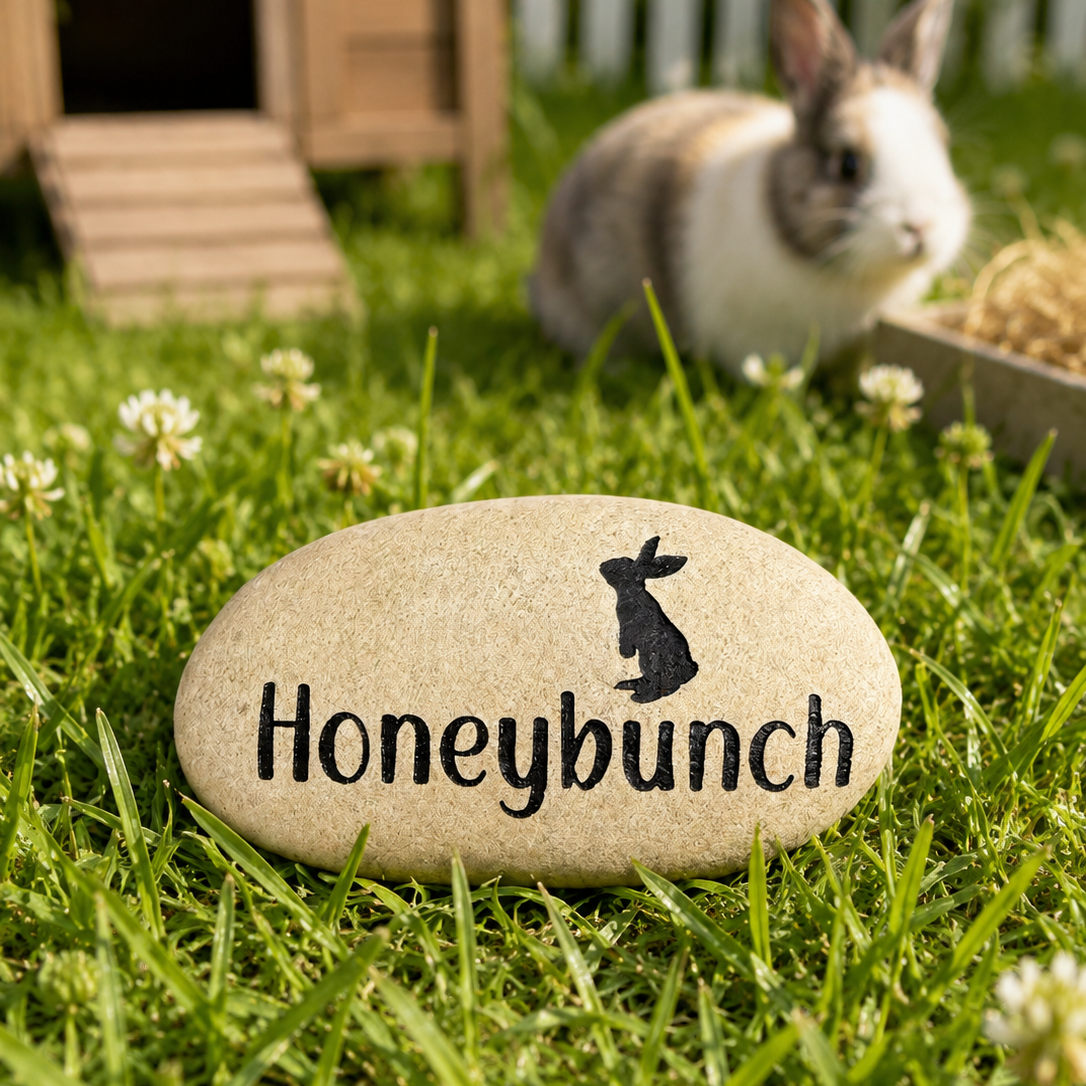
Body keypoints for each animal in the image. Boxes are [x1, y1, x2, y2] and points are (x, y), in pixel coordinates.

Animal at [600, 536, 699, 704]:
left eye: (617, 568)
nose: (601, 565)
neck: (631, 590)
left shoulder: (625, 628)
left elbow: (625, 646)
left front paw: (625, 654)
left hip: (648, 664)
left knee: (656, 690)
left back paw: (636, 693)